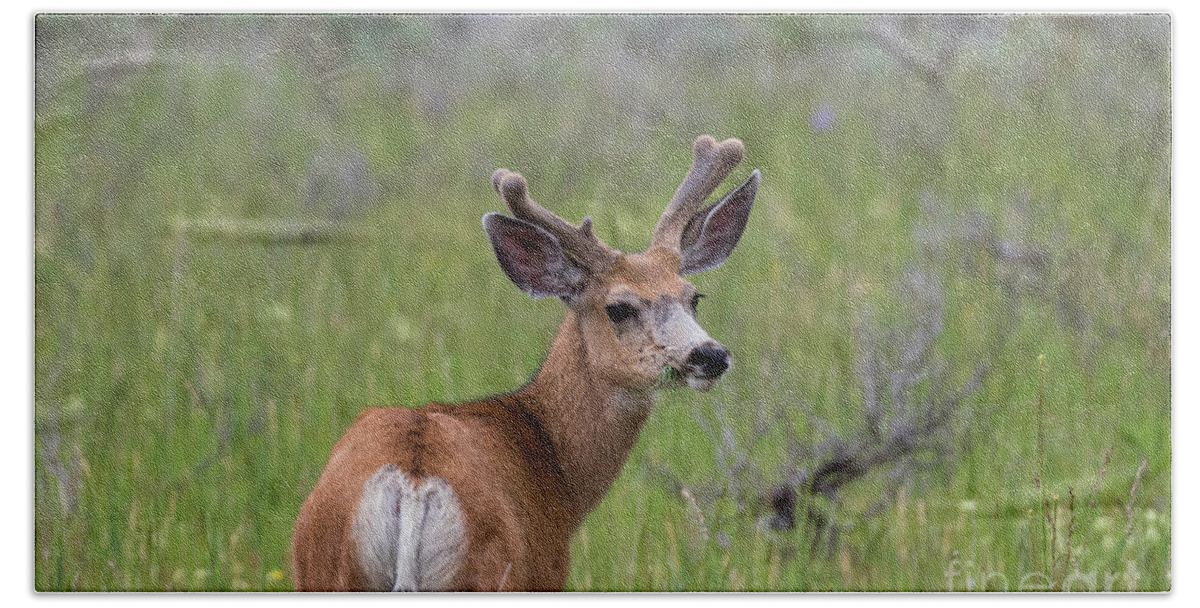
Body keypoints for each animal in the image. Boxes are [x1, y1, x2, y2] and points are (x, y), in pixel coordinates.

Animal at [290, 134, 758, 590]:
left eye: (693, 296)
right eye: (619, 308)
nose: (710, 354)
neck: (557, 465)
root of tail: (413, 483)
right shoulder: (549, 569)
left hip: (324, 569)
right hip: (495, 572)